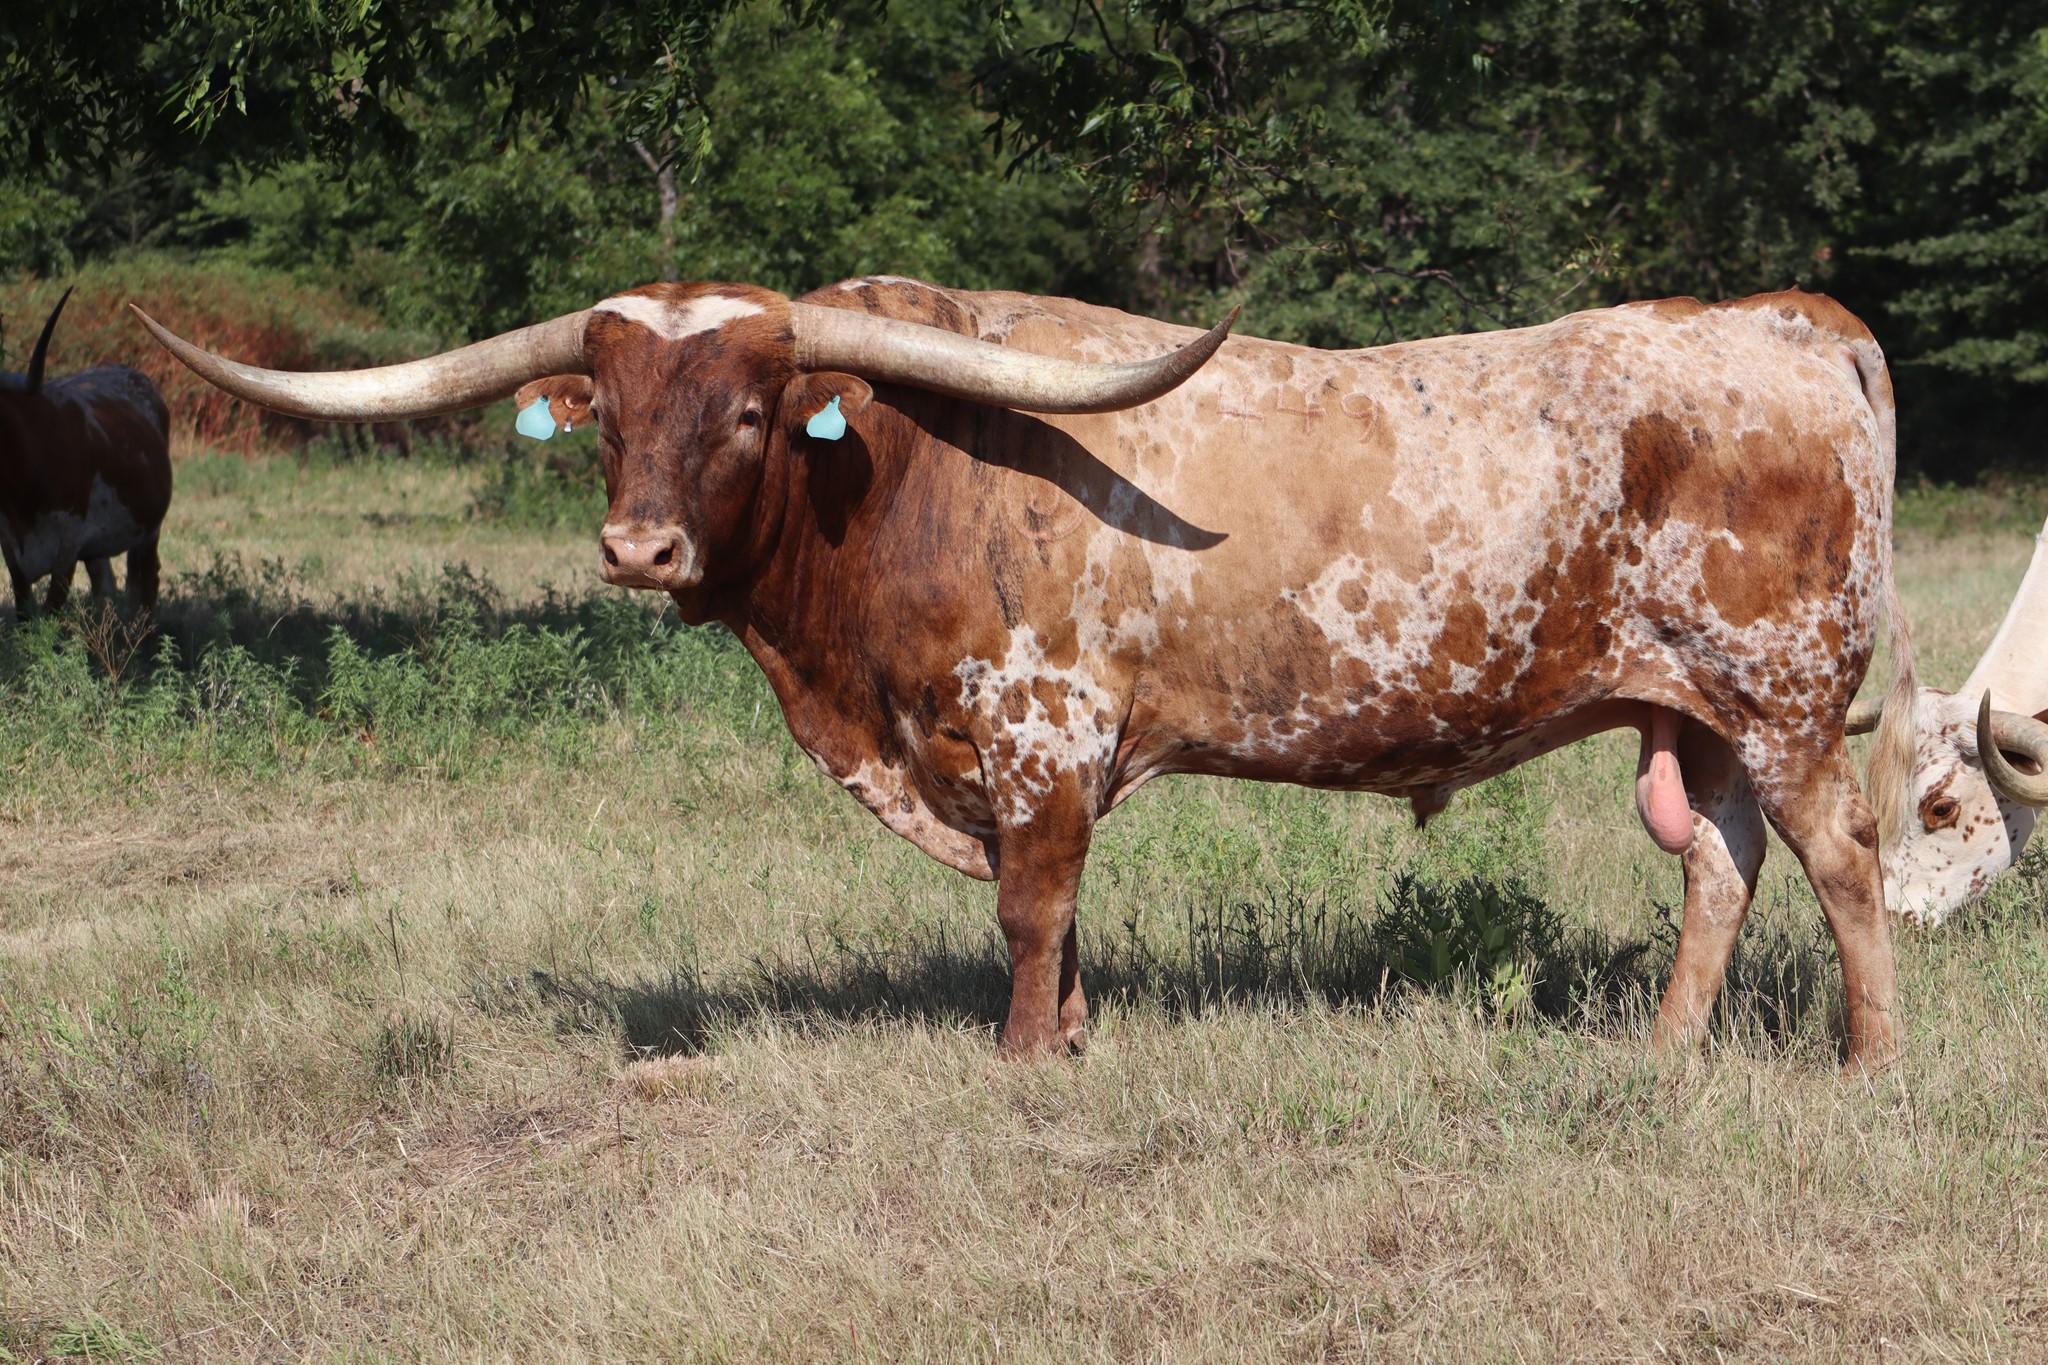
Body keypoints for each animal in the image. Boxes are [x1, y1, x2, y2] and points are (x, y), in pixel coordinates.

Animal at [1, 289, 173, 618]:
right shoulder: (12, 552)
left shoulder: (66, 548)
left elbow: (50, 615)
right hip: (98, 548)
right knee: (105, 585)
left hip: (148, 531)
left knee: (144, 582)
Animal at [135, 278, 1924, 1071]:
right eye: (612, 415)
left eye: (748, 414)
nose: (637, 548)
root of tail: (1783, 313)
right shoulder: (1022, 756)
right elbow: (1054, 913)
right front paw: (1063, 1040)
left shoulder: (1043, 731)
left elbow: (1028, 904)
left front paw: (1016, 1062)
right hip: (1697, 714)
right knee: (1719, 870)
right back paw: (1666, 1053)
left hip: (1784, 699)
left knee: (1842, 862)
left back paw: (1864, 1063)